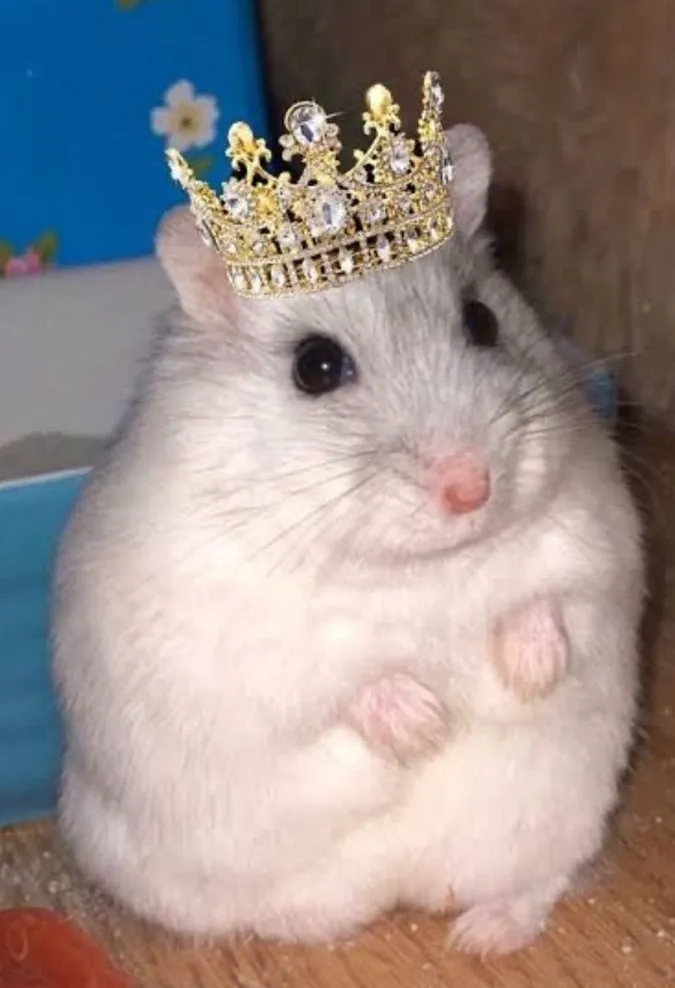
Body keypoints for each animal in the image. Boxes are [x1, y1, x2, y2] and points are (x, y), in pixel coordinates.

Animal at [51, 123, 644, 957]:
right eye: (316, 366)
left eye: (483, 322)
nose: (471, 488)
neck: (416, 568)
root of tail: (407, 888)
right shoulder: (242, 650)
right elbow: (342, 682)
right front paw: (426, 724)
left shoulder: (594, 544)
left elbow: (549, 601)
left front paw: (529, 676)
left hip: (562, 813)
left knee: (535, 883)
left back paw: (480, 936)